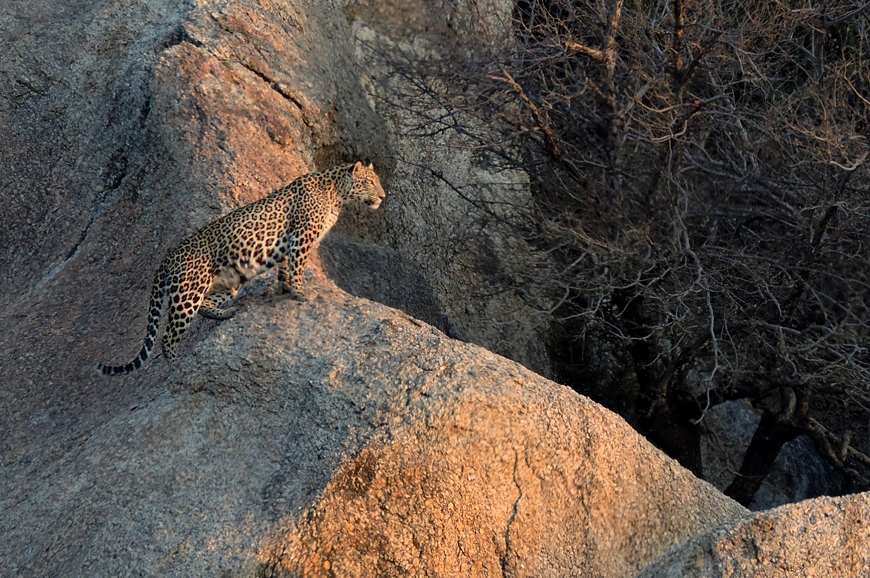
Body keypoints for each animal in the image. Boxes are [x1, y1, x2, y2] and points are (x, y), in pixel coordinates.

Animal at [93, 160, 388, 374]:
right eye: (371, 182)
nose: (383, 197)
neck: (336, 193)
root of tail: (167, 257)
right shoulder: (302, 237)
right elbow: (297, 267)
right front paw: (301, 293)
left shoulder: (289, 242)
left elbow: (284, 268)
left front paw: (284, 290)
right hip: (188, 293)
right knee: (168, 336)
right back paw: (178, 368)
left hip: (227, 283)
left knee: (205, 306)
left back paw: (229, 313)